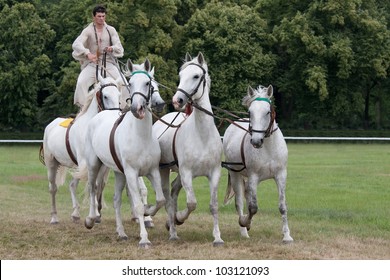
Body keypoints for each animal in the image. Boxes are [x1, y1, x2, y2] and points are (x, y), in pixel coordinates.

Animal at [41, 75, 122, 224]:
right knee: (53, 188)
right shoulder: (86, 162)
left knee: (72, 185)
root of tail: (51, 125)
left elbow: (98, 185)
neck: (89, 128)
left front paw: (97, 214)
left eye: (119, 95)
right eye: (105, 96)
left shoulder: (100, 165)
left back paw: (76, 214)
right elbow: (92, 186)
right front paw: (94, 213)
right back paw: (54, 217)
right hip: (52, 164)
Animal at [80, 58, 165, 247]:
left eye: (149, 83)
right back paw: (90, 219)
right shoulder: (132, 173)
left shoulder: (152, 171)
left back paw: (121, 232)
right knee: (92, 188)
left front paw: (148, 213)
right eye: (130, 83)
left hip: (119, 173)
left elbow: (160, 200)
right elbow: (138, 205)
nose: (136, 108)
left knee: (116, 200)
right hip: (94, 165)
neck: (141, 136)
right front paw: (144, 238)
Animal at [153, 52, 225, 245]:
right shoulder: (187, 173)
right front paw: (178, 218)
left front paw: (217, 237)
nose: (177, 100)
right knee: (168, 197)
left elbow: (213, 205)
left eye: (196, 76)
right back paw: (172, 230)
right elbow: (192, 203)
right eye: (180, 76)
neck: (202, 136)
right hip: (164, 170)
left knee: (174, 191)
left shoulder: (214, 173)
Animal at [222, 83, 292, 243]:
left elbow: (282, 206)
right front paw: (245, 222)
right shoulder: (253, 176)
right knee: (240, 202)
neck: (268, 147)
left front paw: (287, 236)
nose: (256, 141)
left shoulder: (281, 175)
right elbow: (253, 207)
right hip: (235, 174)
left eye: (267, 112)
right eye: (250, 112)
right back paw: (244, 230)